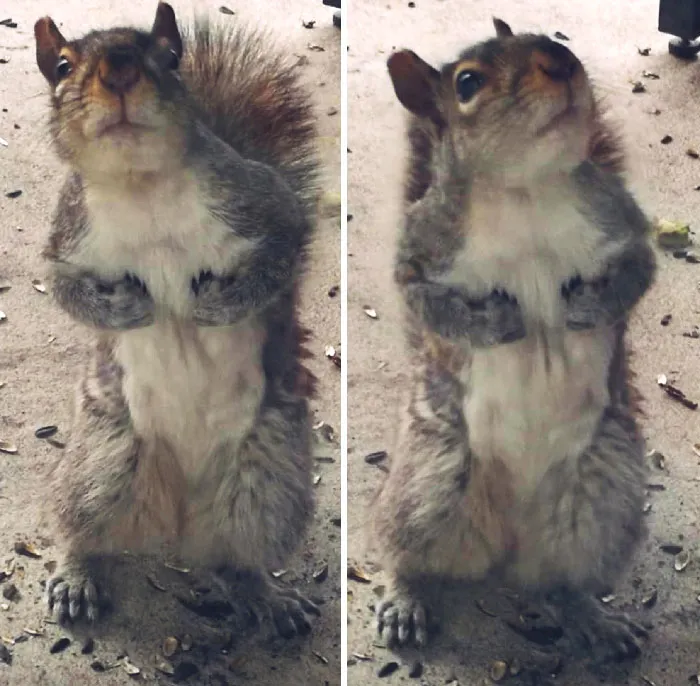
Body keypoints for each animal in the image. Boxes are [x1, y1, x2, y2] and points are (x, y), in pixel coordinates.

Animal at [34, 3, 322, 638]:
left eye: (168, 58)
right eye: (61, 66)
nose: (118, 72)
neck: (142, 186)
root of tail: (179, 504)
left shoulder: (264, 202)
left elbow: (284, 251)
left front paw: (218, 305)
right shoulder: (66, 238)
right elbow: (66, 288)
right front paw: (127, 309)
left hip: (267, 480)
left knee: (236, 553)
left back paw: (265, 596)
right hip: (102, 459)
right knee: (85, 527)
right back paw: (77, 575)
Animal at [373, 18, 656, 665]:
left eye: (551, 36)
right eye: (467, 83)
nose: (560, 63)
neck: (527, 192)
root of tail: (507, 540)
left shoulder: (623, 224)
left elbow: (636, 273)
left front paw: (589, 308)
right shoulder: (420, 251)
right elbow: (428, 301)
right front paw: (494, 324)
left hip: (601, 499)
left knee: (561, 581)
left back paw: (591, 617)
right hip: (430, 479)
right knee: (406, 548)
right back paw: (405, 598)